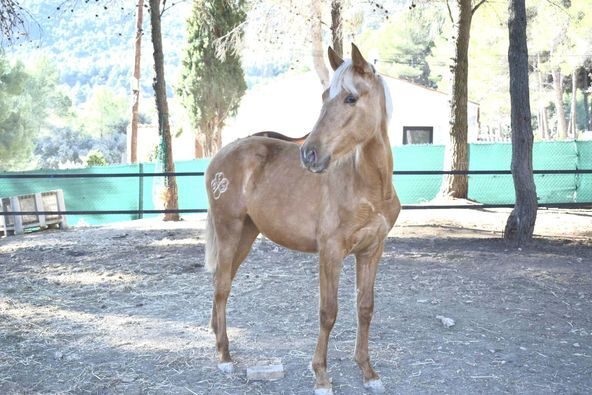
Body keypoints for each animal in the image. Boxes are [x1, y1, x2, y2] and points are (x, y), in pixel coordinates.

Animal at [205, 44, 402, 392]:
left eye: (351, 98)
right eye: (324, 95)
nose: (309, 154)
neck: (366, 186)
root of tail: (221, 155)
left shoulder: (371, 250)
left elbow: (365, 308)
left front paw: (368, 372)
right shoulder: (331, 252)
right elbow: (328, 311)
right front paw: (321, 374)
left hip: (246, 235)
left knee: (221, 281)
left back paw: (219, 340)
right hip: (229, 231)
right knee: (222, 288)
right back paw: (224, 357)